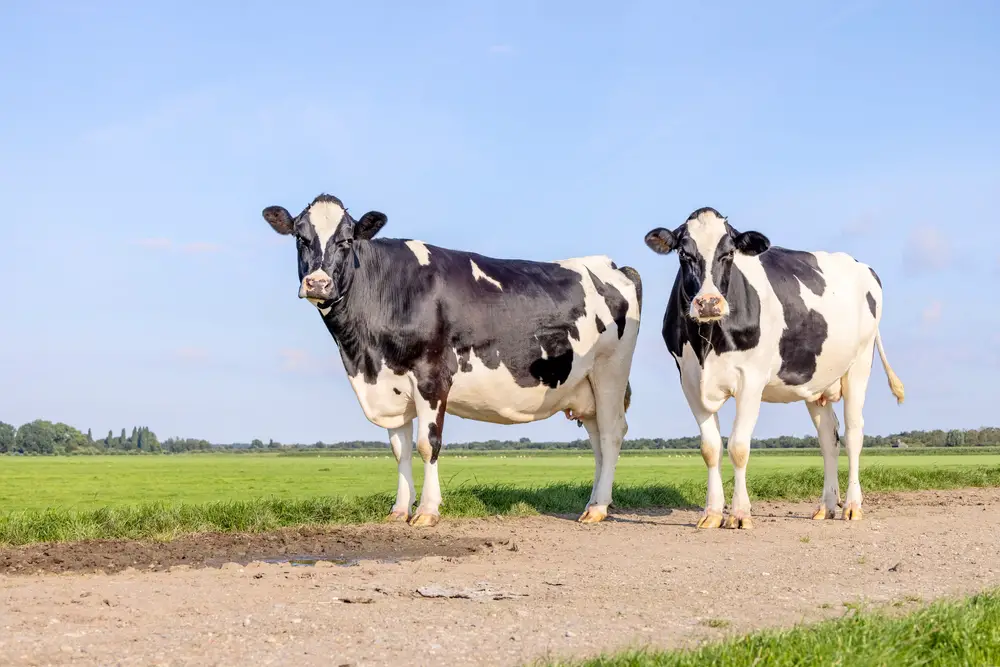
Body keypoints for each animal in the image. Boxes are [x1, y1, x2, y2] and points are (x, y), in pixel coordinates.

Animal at [262, 193, 644, 528]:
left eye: (347, 239)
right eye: (300, 237)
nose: (318, 283)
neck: (364, 356)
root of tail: (613, 265)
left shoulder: (432, 376)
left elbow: (426, 444)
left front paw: (427, 511)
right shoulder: (389, 384)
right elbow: (400, 450)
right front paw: (399, 510)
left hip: (610, 371)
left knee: (612, 433)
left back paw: (597, 508)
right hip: (584, 387)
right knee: (598, 441)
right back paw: (595, 502)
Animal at [644, 206, 904, 528]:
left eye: (728, 253)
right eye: (683, 253)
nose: (708, 303)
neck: (708, 342)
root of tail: (862, 266)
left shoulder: (751, 380)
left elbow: (738, 447)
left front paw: (740, 514)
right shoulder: (690, 381)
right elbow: (710, 448)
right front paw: (712, 513)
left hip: (860, 364)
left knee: (854, 434)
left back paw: (852, 506)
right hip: (815, 381)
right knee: (828, 437)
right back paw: (826, 506)